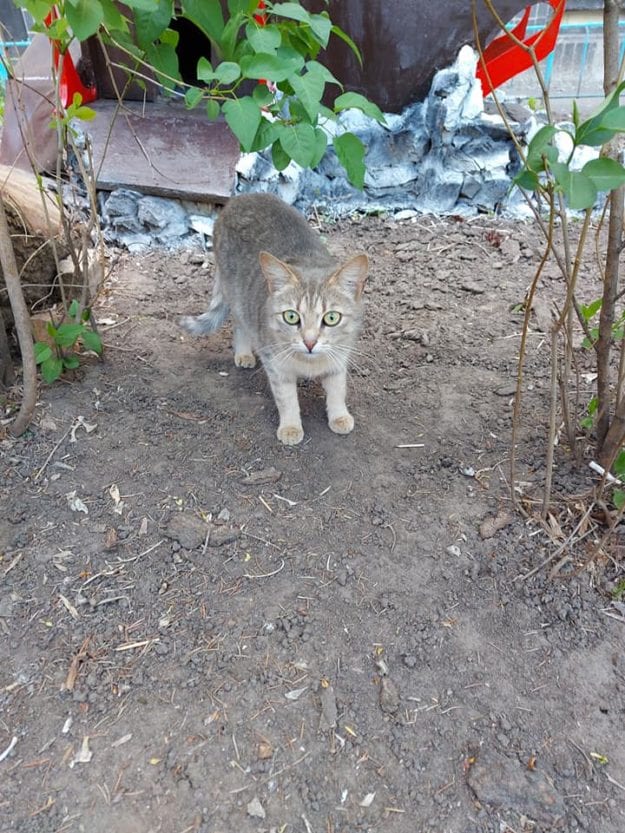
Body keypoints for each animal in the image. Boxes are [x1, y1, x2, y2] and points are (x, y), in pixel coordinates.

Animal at [179, 193, 366, 446]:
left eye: (331, 318)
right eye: (291, 316)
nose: (309, 342)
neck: (309, 363)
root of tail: (238, 199)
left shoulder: (340, 356)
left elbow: (338, 388)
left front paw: (339, 415)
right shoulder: (276, 365)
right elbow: (286, 398)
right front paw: (290, 427)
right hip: (237, 297)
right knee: (239, 326)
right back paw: (243, 353)